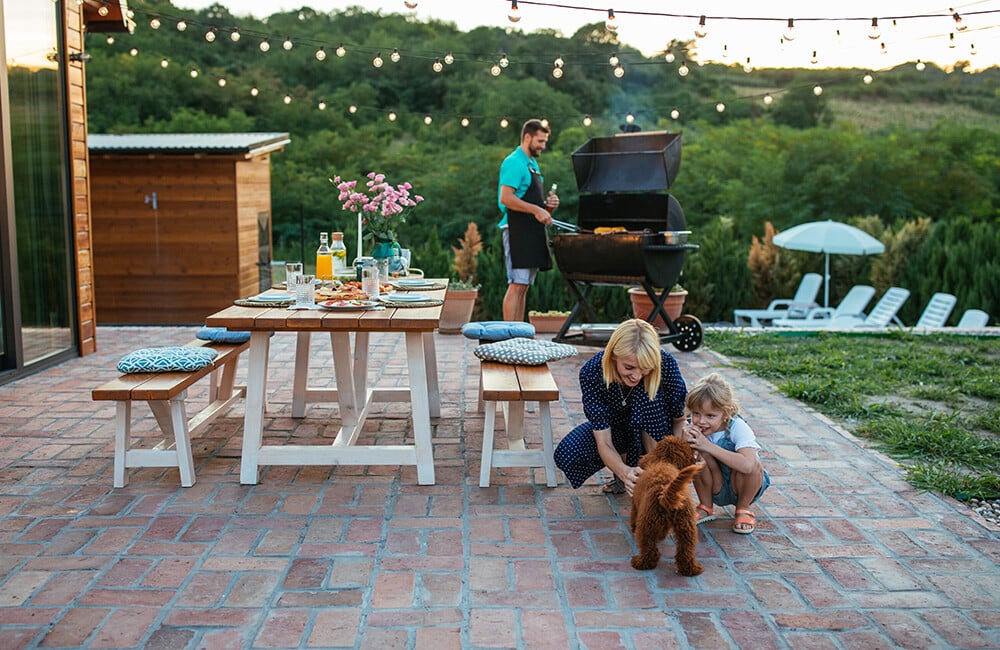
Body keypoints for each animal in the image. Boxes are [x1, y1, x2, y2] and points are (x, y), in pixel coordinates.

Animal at [632, 432, 704, 576]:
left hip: (646, 524)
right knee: (685, 550)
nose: (695, 461)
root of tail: (665, 493)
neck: (664, 461)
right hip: (686, 527)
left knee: (650, 550)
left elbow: (633, 515)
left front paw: (632, 527)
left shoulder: (636, 506)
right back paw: (691, 569)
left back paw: (640, 563)